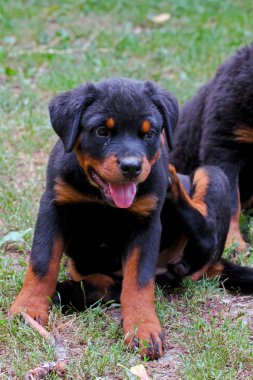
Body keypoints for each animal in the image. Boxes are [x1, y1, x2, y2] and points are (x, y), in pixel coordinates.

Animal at [10, 78, 241, 360]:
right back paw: (67, 291)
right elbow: (42, 262)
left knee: (206, 236)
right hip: (83, 264)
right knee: (110, 285)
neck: (100, 197)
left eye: (150, 133)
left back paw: (174, 187)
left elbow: (139, 281)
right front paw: (28, 309)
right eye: (102, 131)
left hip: (213, 175)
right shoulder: (53, 207)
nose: (132, 167)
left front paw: (143, 329)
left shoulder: (146, 224)